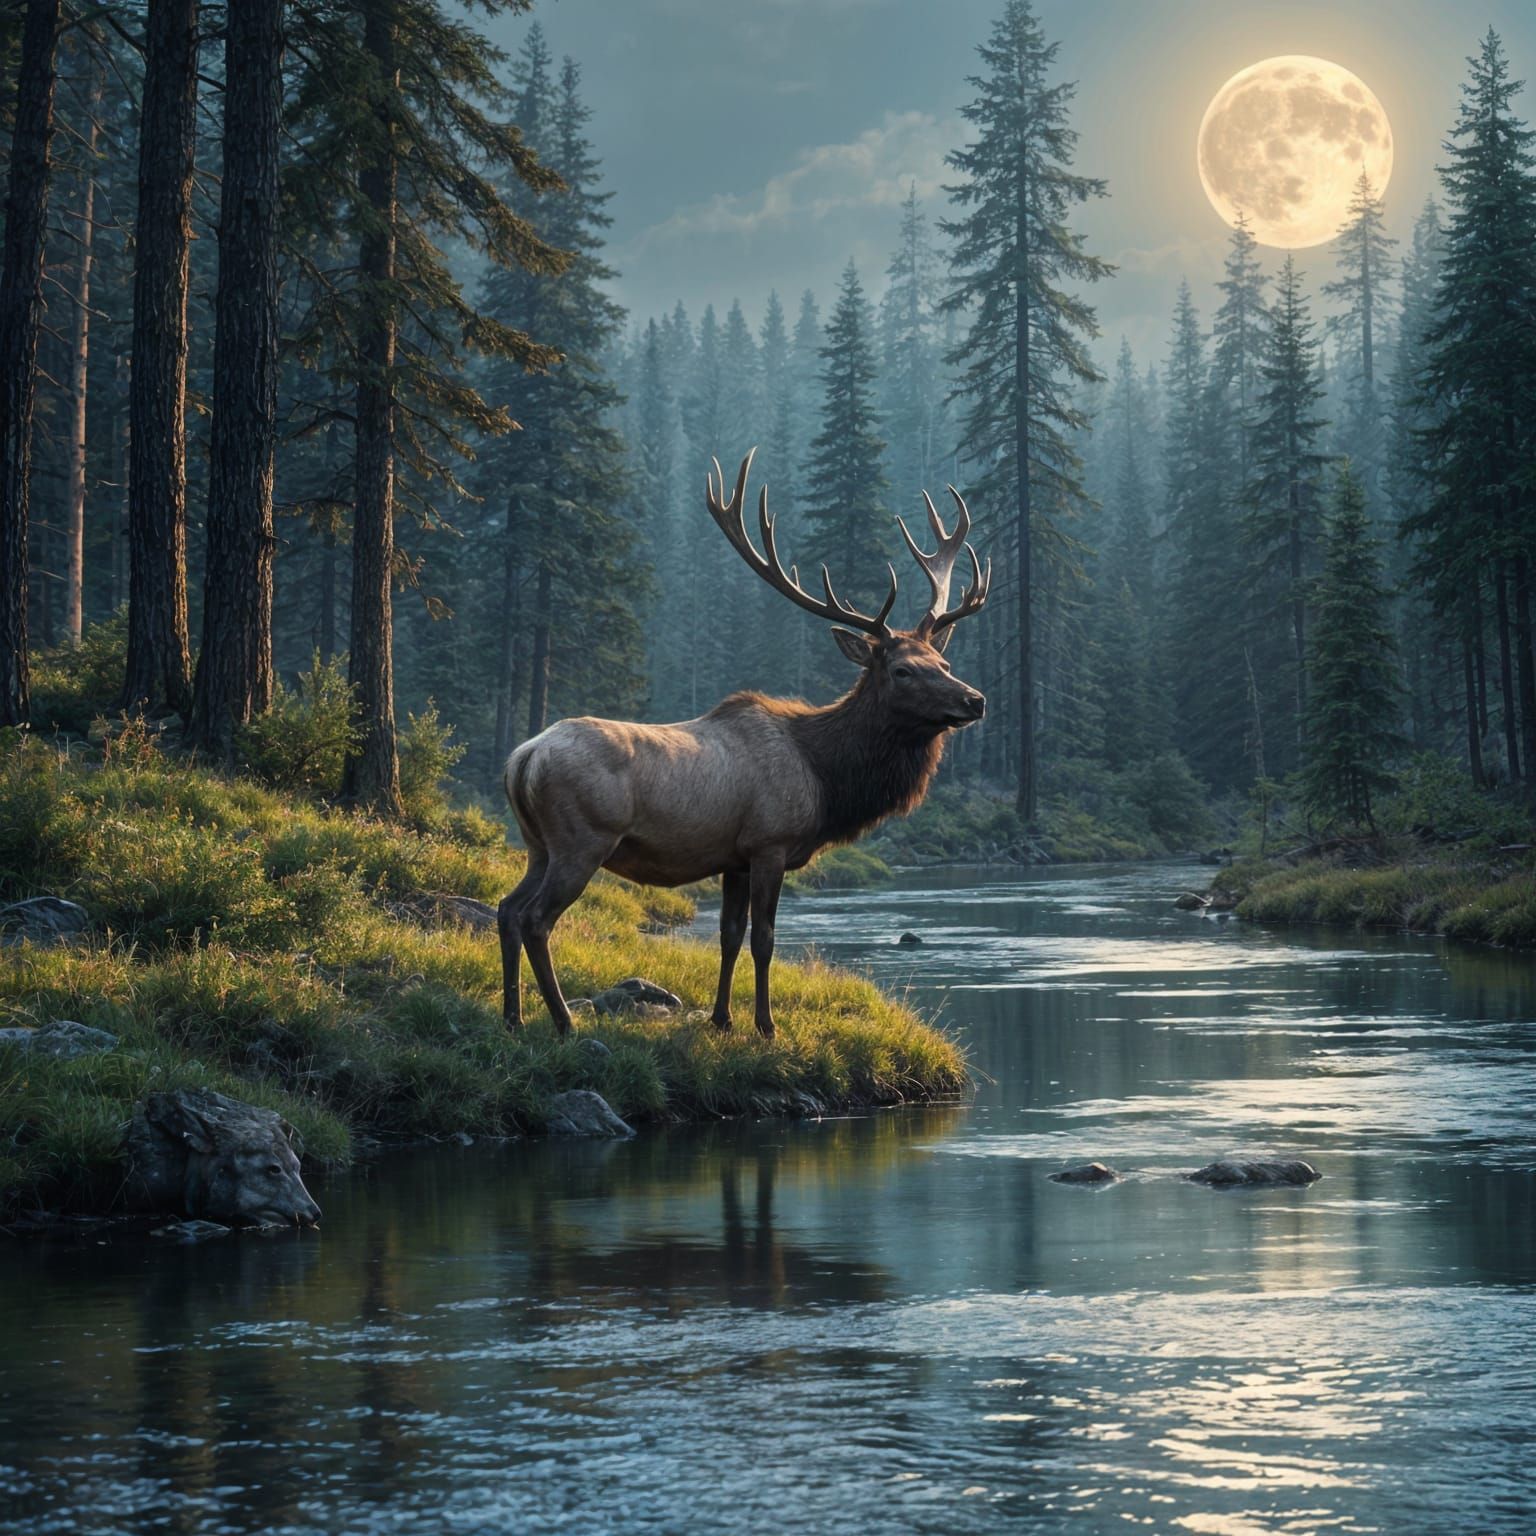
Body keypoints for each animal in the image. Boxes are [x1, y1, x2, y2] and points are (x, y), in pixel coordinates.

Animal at [498, 449, 990, 1039]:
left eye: (944, 661)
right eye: (902, 670)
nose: (975, 700)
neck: (827, 777)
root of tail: (522, 758)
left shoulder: (731, 857)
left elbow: (728, 936)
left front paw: (721, 1018)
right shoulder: (768, 842)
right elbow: (763, 940)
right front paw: (766, 1025)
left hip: (537, 843)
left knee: (505, 908)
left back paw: (512, 1018)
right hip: (582, 839)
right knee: (535, 918)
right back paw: (563, 1021)